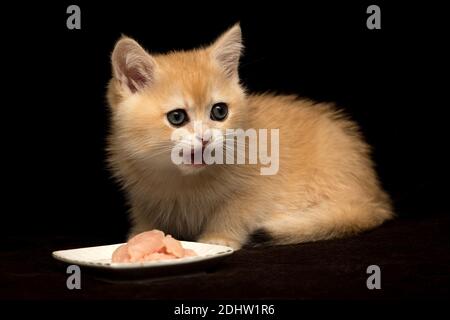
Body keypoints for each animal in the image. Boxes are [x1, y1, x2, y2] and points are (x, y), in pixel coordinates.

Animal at [107, 25, 392, 250]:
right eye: (177, 117)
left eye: (219, 111)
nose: (205, 138)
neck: (183, 181)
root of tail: (375, 197)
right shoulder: (142, 195)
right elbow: (146, 217)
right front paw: (138, 238)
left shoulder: (257, 189)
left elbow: (235, 212)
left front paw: (218, 239)